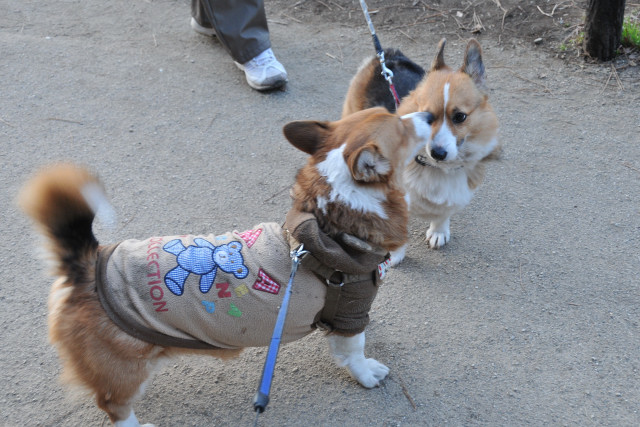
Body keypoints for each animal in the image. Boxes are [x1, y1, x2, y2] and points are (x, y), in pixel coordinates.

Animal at [20, 108, 430, 427]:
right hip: (126, 371)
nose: (428, 115)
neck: (334, 217)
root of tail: (85, 264)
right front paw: (368, 374)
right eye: (403, 127)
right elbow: (355, 353)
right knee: (114, 406)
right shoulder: (351, 314)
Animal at [344, 39, 500, 264]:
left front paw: (438, 231)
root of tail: (387, 55)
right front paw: (395, 255)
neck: (437, 168)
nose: (438, 153)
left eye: (460, 117)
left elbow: (443, 213)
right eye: (427, 116)